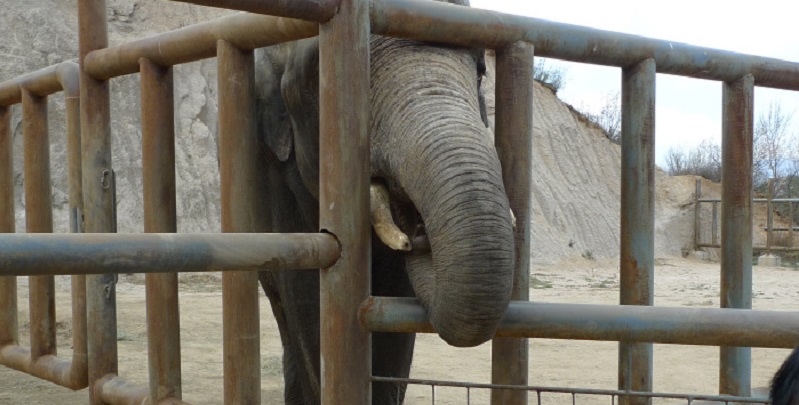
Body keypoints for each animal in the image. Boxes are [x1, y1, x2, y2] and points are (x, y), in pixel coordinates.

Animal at [255, 1, 520, 402]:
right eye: (320, 74)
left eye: (480, 71)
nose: (419, 234)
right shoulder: (279, 181)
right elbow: (307, 298)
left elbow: (397, 302)